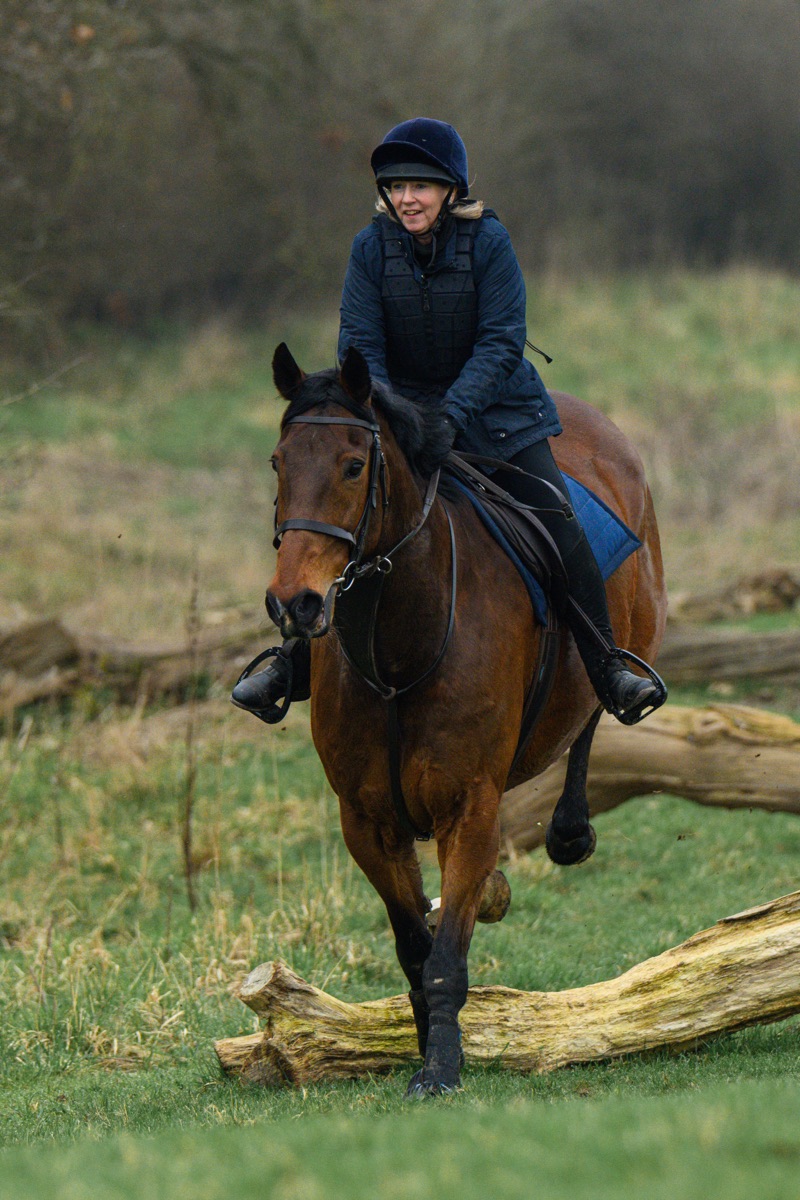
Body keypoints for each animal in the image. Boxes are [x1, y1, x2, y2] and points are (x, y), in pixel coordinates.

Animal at [265, 342, 667, 1096]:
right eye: (279, 463)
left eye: (354, 466)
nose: (294, 603)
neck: (399, 646)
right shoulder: (367, 821)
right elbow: (415, 946)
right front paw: (426, 1042)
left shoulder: (469, 807)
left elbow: (446, 953)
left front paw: (442, 1069)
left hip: (634, 638)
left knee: (596, 710)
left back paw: (570, 828)